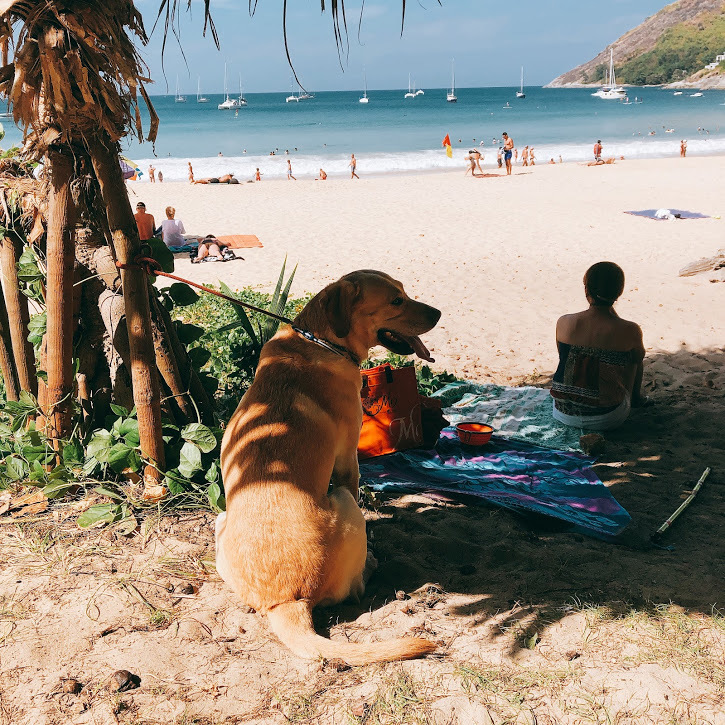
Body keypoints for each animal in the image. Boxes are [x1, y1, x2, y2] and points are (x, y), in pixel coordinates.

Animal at [216, 270, 442, 660]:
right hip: (344, 501)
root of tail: (283, 603)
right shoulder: (349, 460)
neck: (320, 341)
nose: (439, 313)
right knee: (355, 587)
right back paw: (370, 566)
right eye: (396, 300)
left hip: (220, 522)